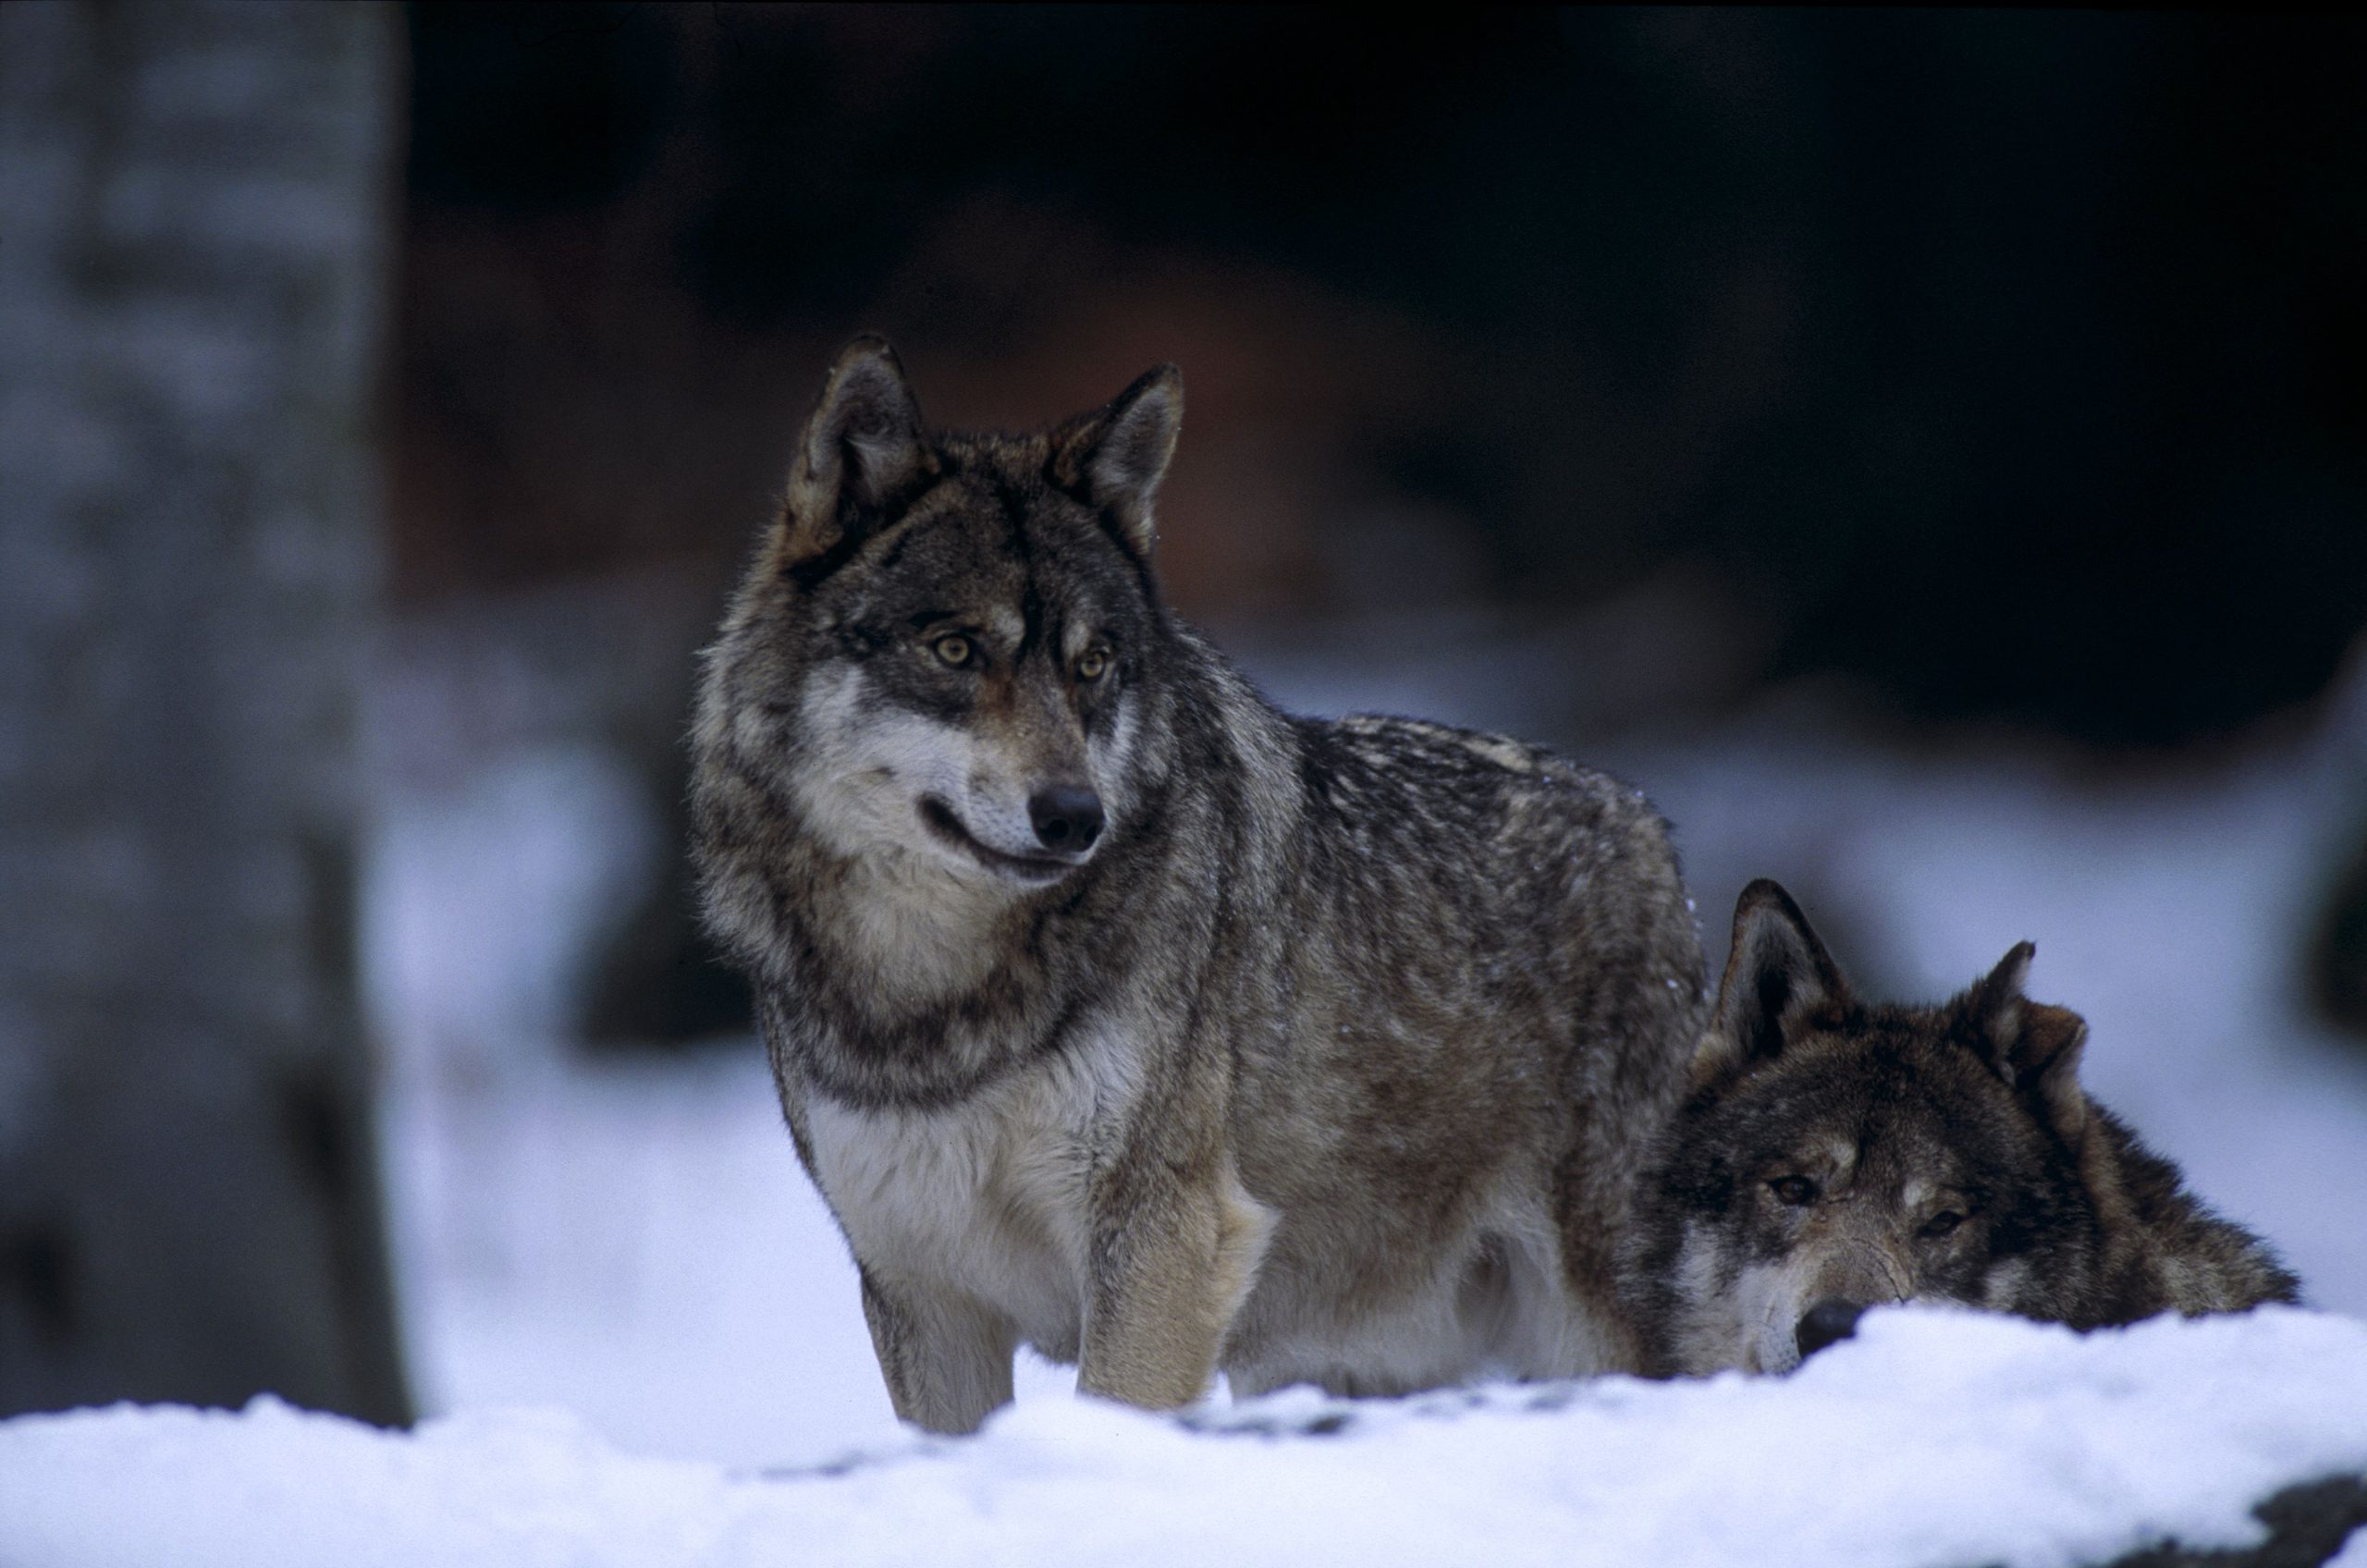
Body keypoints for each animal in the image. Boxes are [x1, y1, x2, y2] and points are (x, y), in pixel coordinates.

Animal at [691, 334, 1713, 1439]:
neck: (938, 994)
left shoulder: (1166, 1243)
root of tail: (1652, 830)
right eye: (955, 649)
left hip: (1592, 1333)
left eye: (1094, 664)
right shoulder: (921, 1293)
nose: (1075, 817)